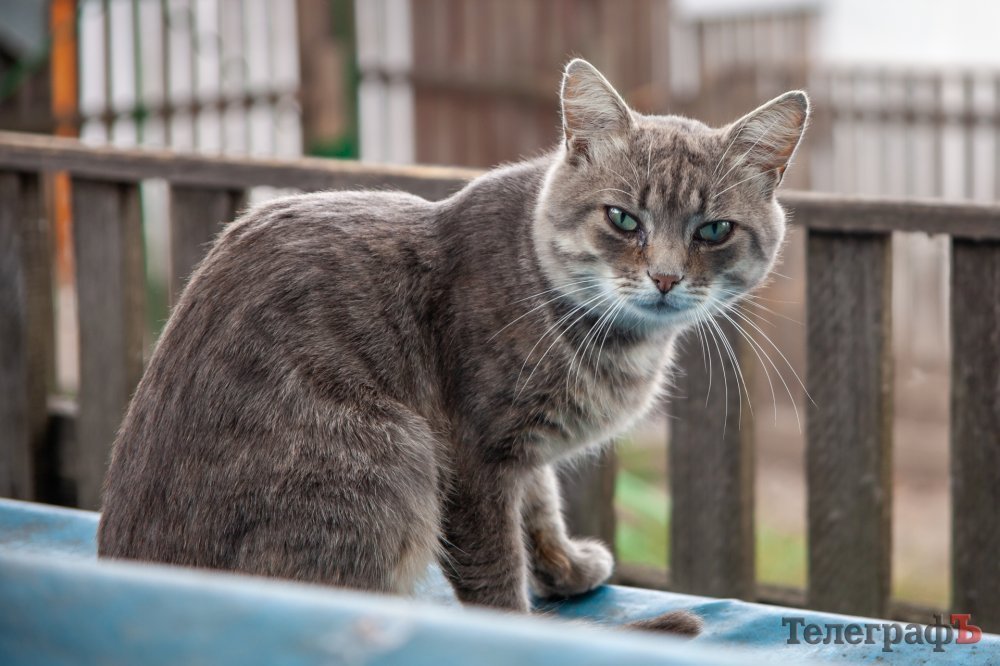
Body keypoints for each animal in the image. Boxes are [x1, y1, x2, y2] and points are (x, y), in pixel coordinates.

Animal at [97, 58, 808, 636]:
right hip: (396, 452)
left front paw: (565, 566)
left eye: (713, 230)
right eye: (622, 219)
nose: (664, 278)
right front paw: (523, 627)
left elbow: (540, 502)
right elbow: (495, 563)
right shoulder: (474, 454)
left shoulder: (521, 451)